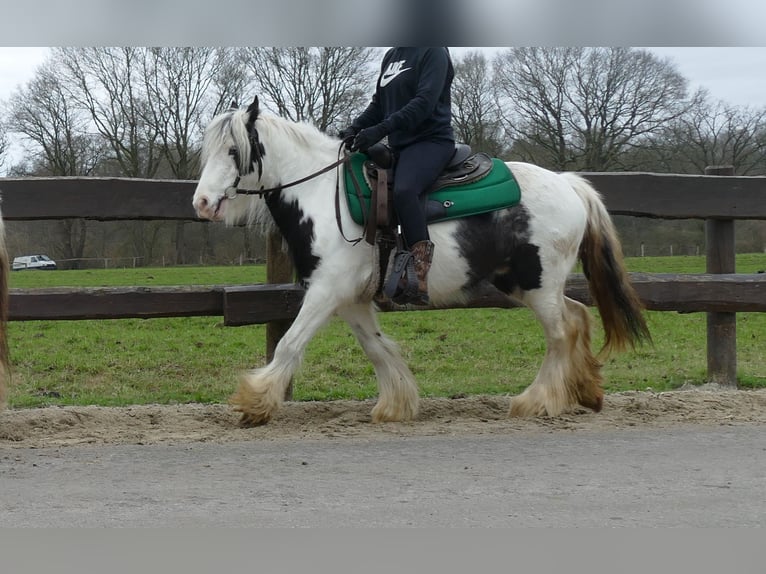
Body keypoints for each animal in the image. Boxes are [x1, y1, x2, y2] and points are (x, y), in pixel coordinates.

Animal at [192, 95, 648, 428]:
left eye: (233, 150)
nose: (201, 203)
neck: (323, 194)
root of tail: (570, 185)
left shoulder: (326, 291)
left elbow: (289, 343)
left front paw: (254, 403)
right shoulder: (349, 298)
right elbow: (377, 348)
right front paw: (396, 405)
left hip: (539, 283)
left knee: (562, 331)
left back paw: (538, 401)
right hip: (524, 284)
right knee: (578, 316)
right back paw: (585, 390)